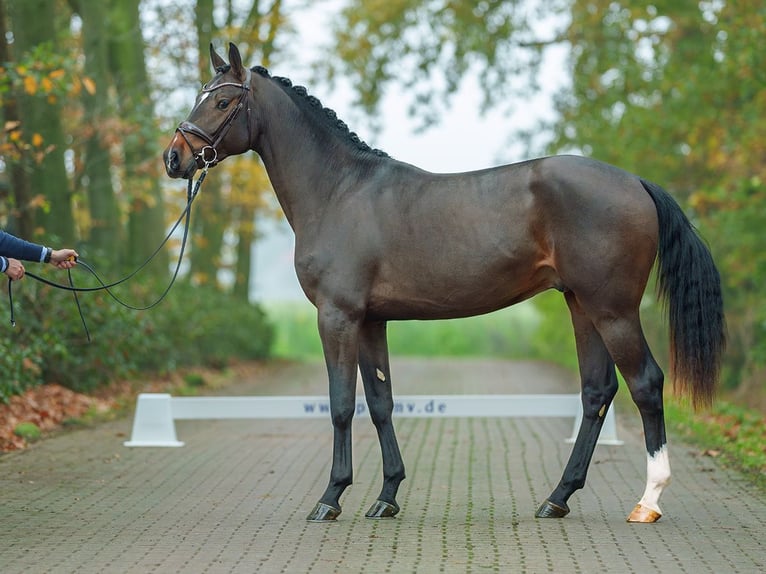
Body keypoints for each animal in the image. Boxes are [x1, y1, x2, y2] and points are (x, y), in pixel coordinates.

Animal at [162, 44, 728, 528]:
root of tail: (636, 183)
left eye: (223, 100)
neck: (339, 191)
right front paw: (387, 496)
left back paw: (647, 502)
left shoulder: (338, 316)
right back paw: (556, 498)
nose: (174, 158)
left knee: (646, 384)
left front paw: (331, 498)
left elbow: (342, 403)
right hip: (581, 305)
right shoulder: (372, 320)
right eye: (200, 94)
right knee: (597, 391)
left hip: (612, 309)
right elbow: (381, 402)